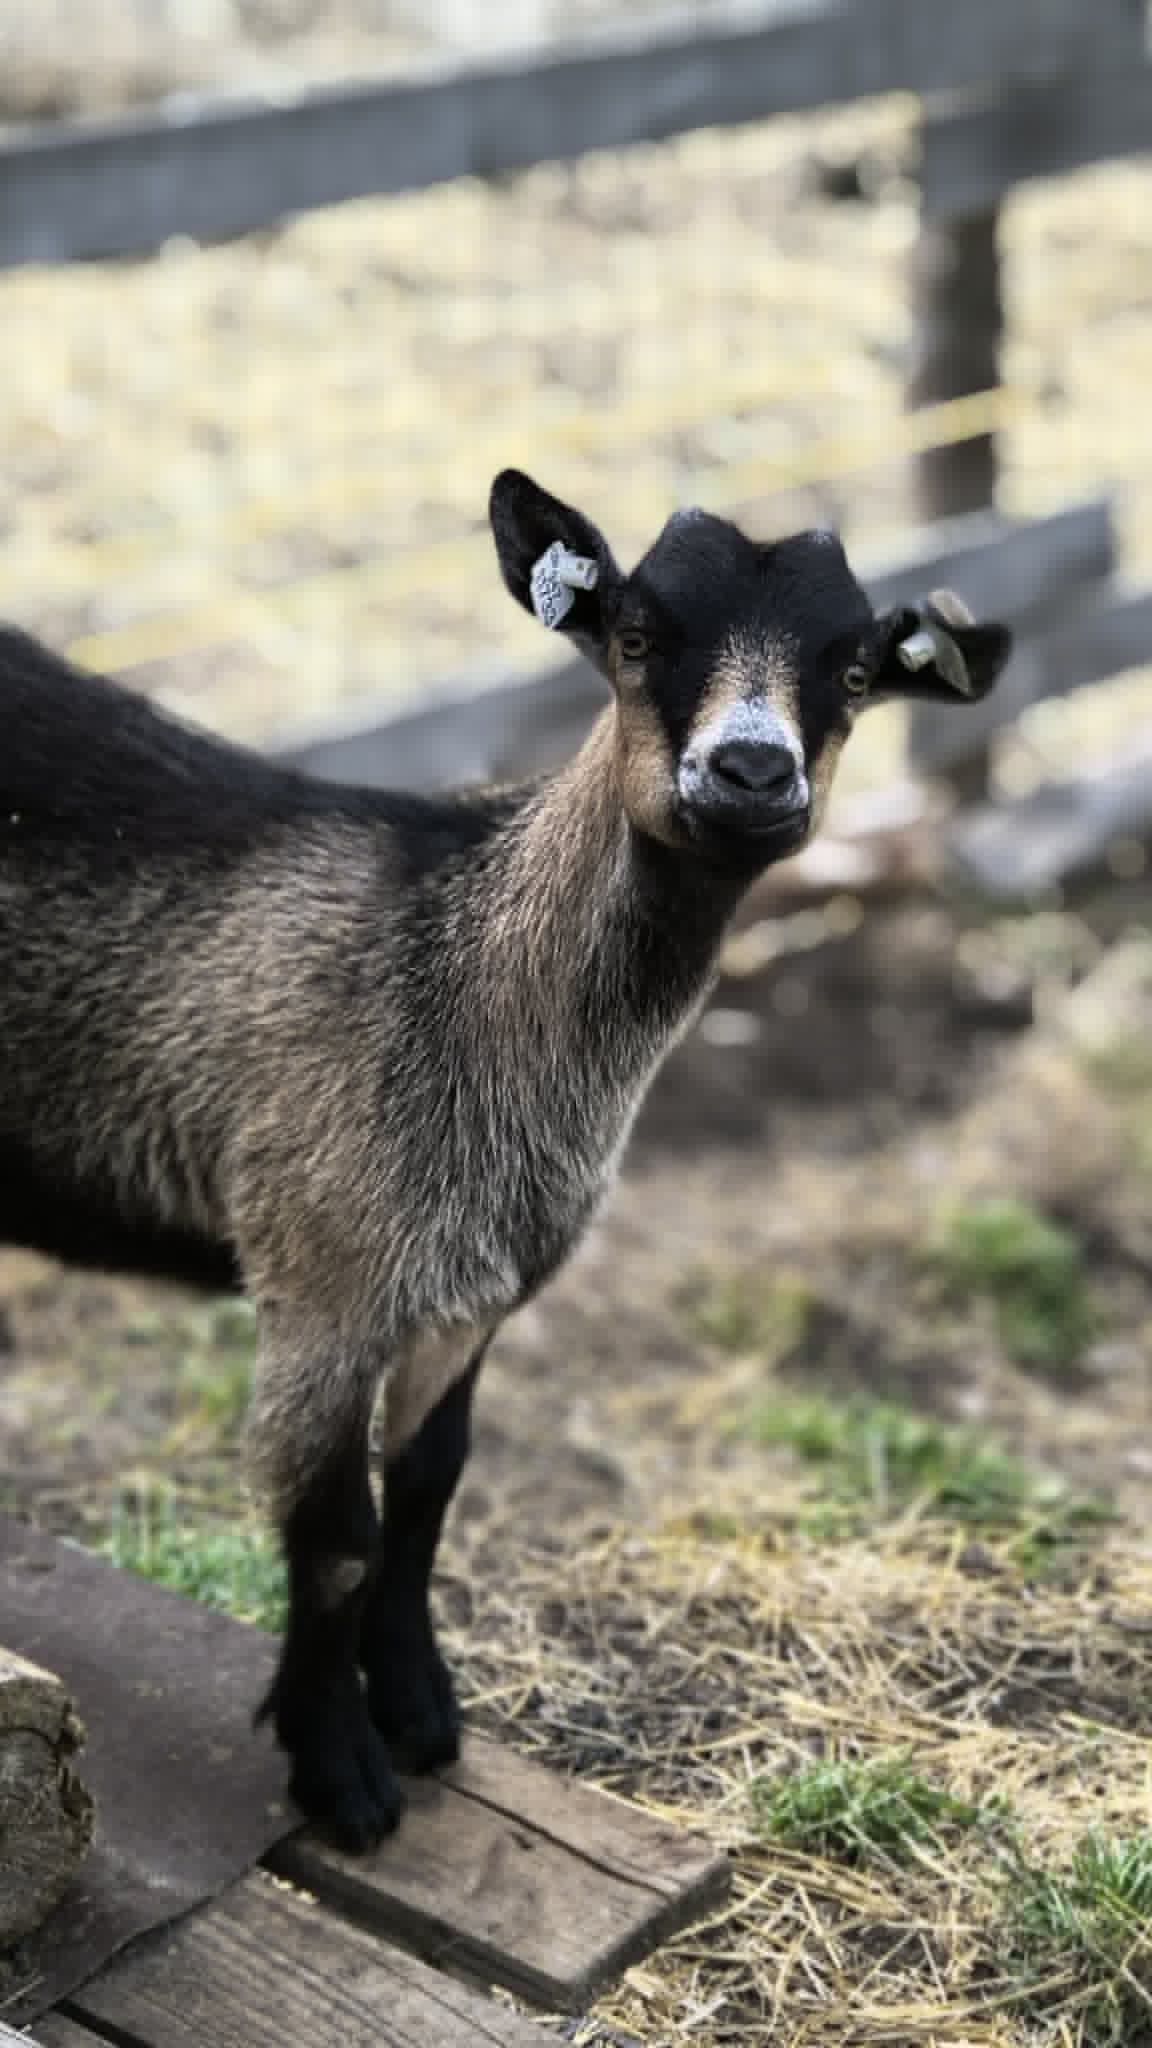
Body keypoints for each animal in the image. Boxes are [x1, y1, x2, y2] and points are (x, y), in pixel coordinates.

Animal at [0, 470, 1012, 1847]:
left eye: (853, 670)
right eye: (635, 633)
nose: (751, 769)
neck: (461, 974)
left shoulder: (471, 1293)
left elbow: (429, 1490)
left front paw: (422, 1712)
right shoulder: (323, 1282)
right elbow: (337, 1537)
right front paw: (341, 1772)